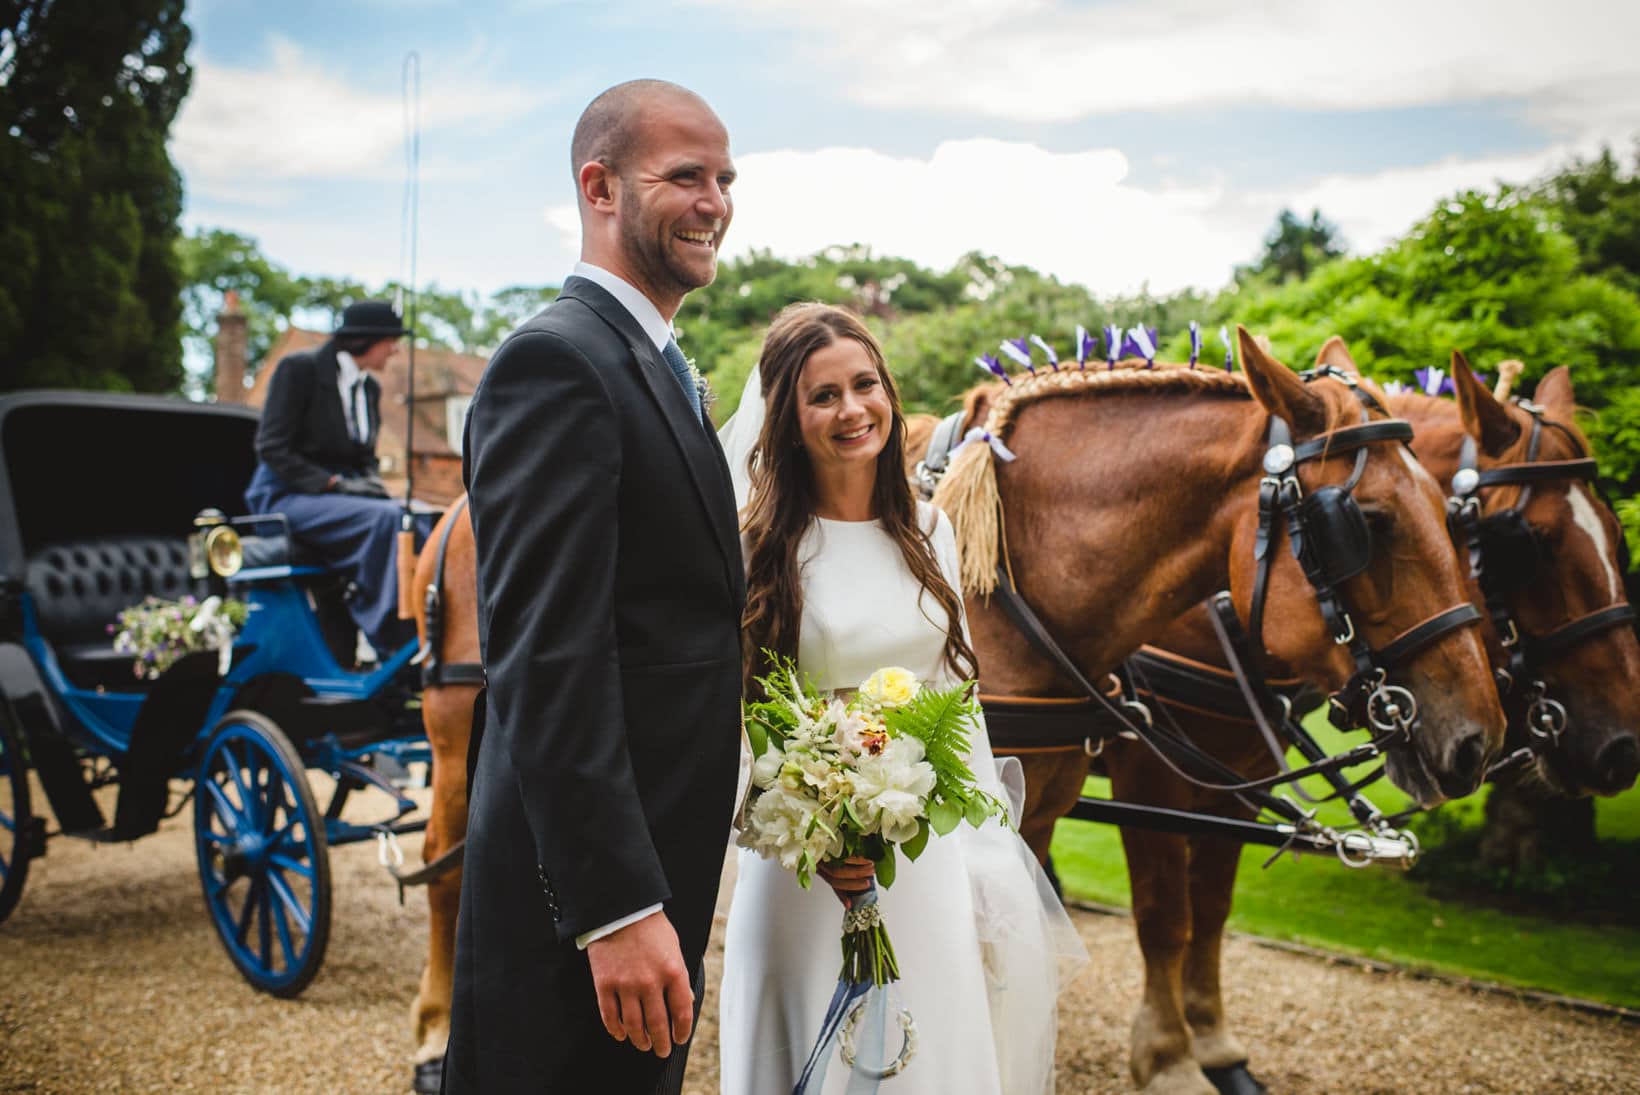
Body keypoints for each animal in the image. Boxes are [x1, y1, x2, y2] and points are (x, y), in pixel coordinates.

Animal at [403, 329, 1502, 1081]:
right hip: (460, 735)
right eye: (1362, 523)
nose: (1476, 741)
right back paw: (435, 1028)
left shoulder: (1049, 792)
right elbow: (1161, 905)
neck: (1024, 575)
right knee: (449, 861)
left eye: (1459, 521)